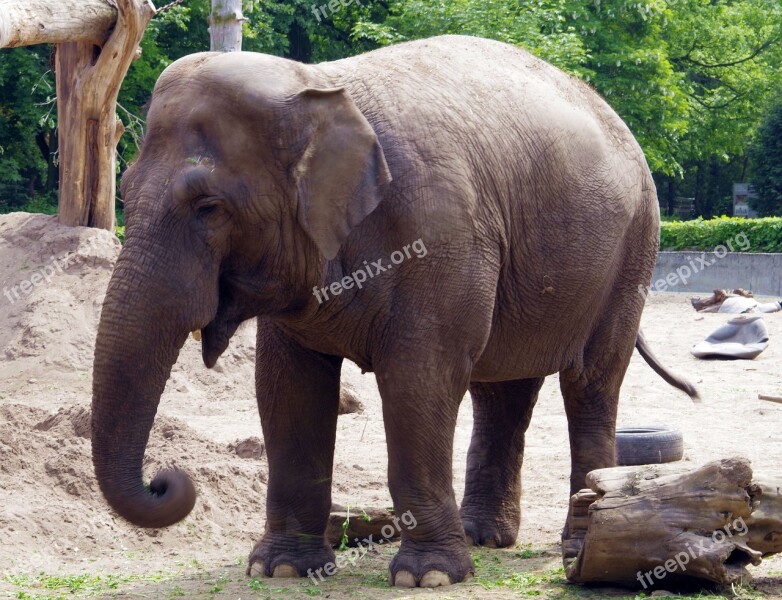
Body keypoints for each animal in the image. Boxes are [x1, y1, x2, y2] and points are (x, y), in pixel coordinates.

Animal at [92, 34, 700, 592]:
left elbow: (419, 380)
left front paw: (426, 577)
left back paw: (578, 541)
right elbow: (287, 388)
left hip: (633, 251)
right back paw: (484, 537)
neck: (321, 85)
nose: (165, 479)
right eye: (124, 191)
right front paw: (281, 568)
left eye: (209, 207)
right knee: (502, 388)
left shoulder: (440, 237)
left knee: (591, 382)